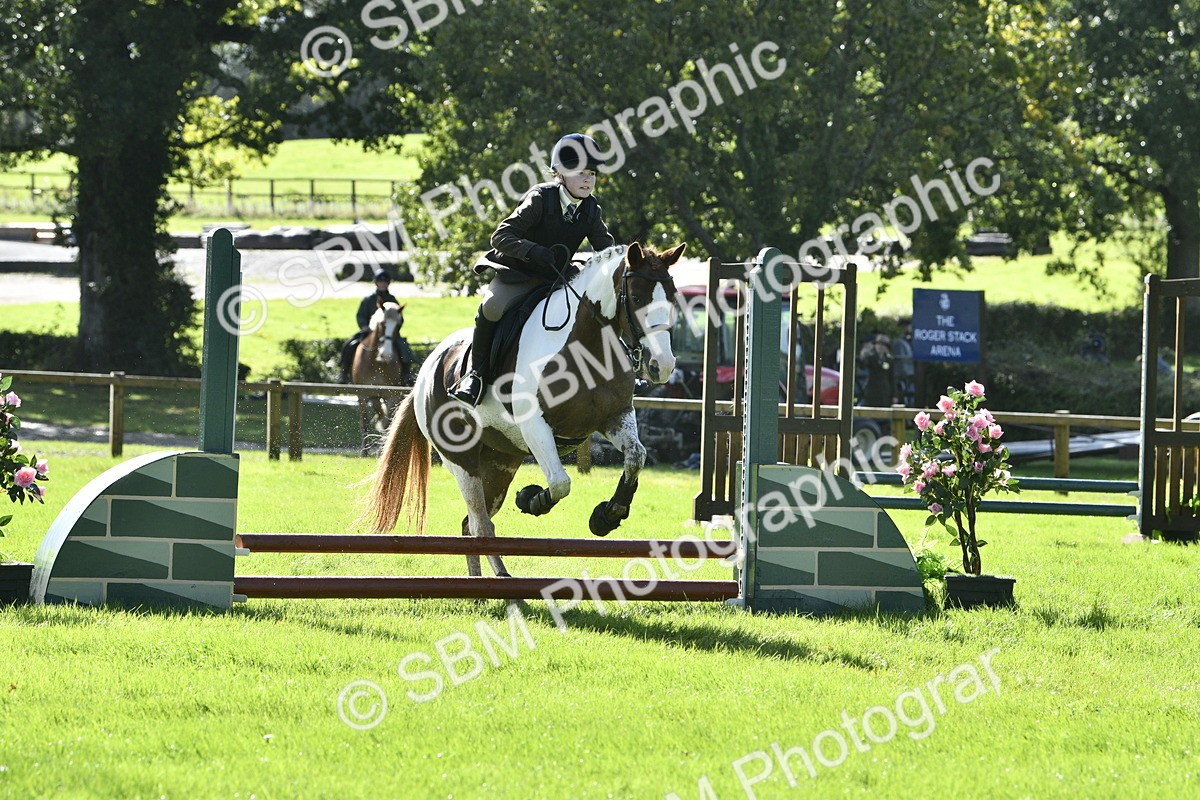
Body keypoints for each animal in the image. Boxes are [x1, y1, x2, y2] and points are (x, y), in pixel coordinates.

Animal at [351, 301, 412, 456]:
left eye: (398, 325)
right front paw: (364, 451)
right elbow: (364, 421)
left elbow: (387, 422)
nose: (387, 354)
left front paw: (382, 449)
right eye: (383, 324)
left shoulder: (391, 395)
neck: (377, 361)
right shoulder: (363, 394)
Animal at [365, 242, 684, 578]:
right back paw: (498, 579)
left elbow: (636, 458)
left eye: (672, 297)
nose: (662, 366)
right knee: (480, 523)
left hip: (501, 461)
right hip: (462, 461)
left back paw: (486, 579)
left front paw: (607, 516)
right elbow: (560, 483)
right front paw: (532, 499)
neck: (588, 346)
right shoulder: (536, 425)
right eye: (636, 298)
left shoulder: (616, 416)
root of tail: (425, 373)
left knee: (471, 523)